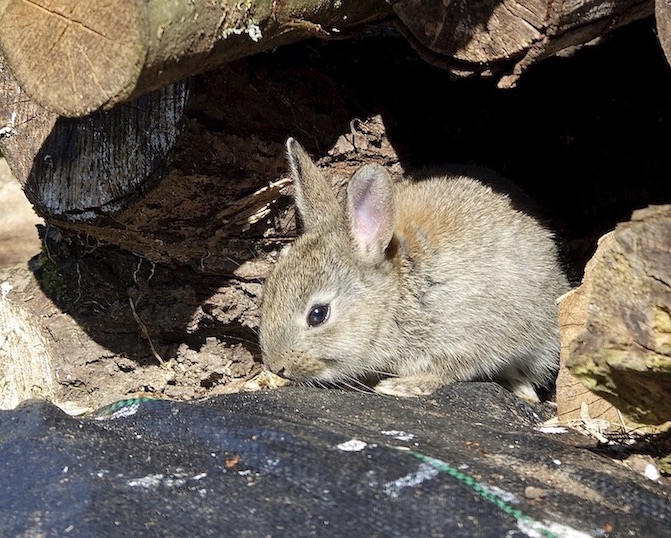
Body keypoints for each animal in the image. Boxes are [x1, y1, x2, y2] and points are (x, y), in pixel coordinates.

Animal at [259, 138, 570, 402]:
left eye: (318, 314)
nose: (276, 366)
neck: (396, 295)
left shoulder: (471, 333)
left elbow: (450, 369)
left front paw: (400, 386)